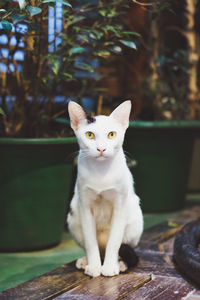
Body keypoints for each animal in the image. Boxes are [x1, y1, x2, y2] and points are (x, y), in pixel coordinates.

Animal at [67, 100, 144, 276]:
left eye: (111, 134)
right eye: (89, 135)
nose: (101, 149)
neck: (101, 172)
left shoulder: (120, 205)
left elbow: (114, 242)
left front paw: (109, 267)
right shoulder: (84, 205)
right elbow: (90, 243)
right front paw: (95, 266)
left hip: (135, 220)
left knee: (122, 246)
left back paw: (120, 263)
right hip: (73, 217)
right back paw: (86, 260)